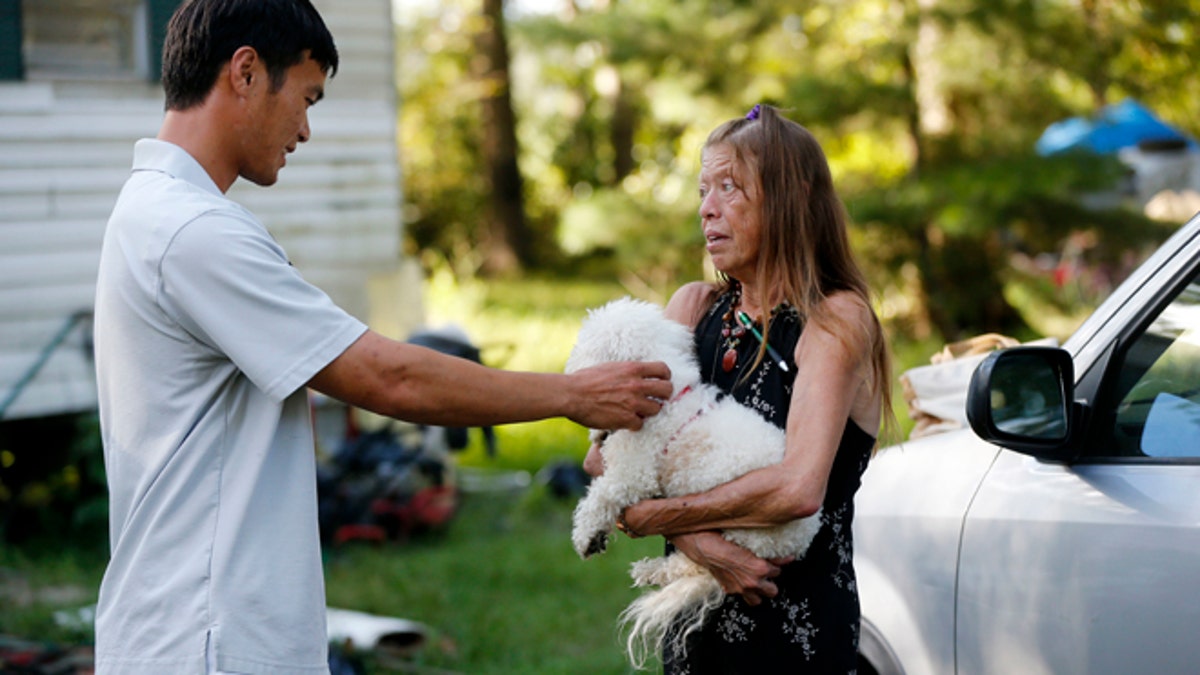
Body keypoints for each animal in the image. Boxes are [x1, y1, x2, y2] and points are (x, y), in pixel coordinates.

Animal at [566, 294, 820, 662]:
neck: (665, 400)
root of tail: (802, 538)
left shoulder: (633, 473)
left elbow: (599, 497)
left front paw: (587, 536)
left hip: (738, 535)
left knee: (695, 567)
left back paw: (653, 570)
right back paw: (650, 570)